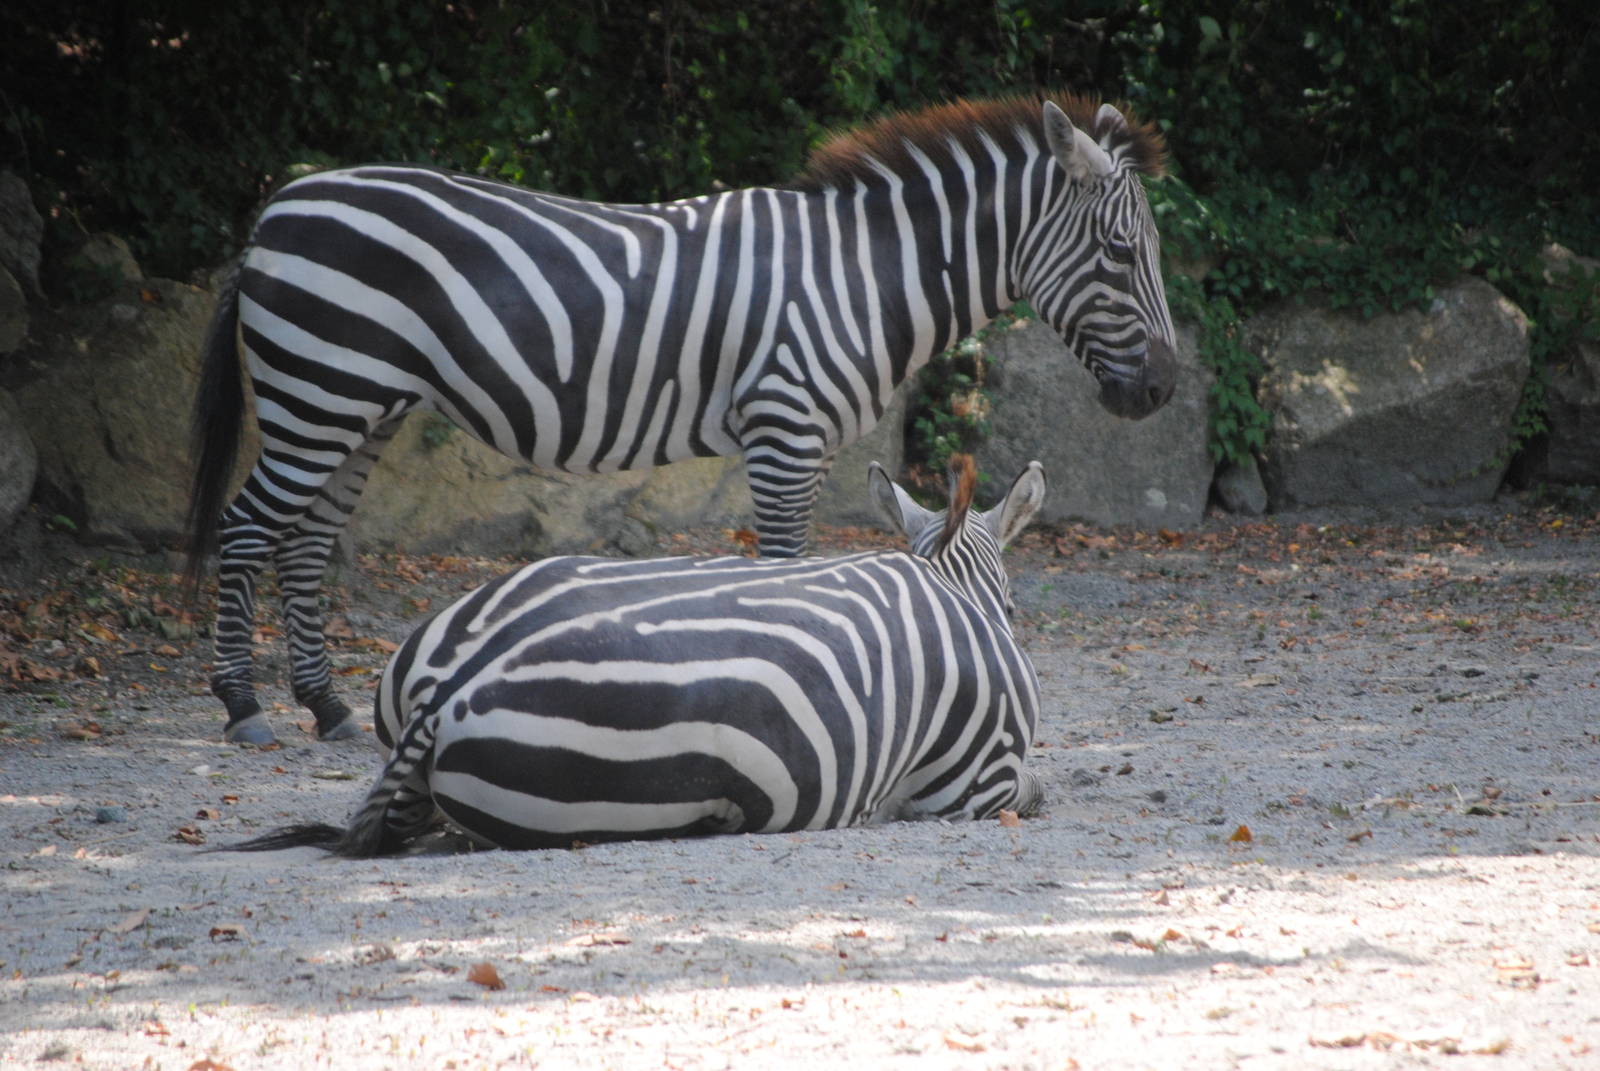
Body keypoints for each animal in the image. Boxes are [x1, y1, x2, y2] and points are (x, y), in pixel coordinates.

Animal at [185, 92, 1175, 746]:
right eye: (1121, 253)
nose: (1165, 391)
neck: (860, 275)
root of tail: (276, 210)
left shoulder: (803, 439)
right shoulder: (785, 426)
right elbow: (783, 567)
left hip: (362, 406)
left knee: (306, 540)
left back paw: (326, 706)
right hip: (319, 390)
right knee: (247, 527)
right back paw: (243, 706)